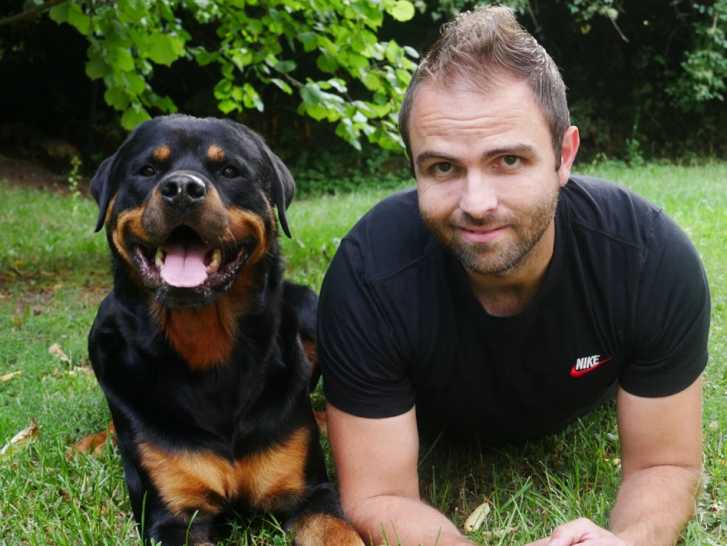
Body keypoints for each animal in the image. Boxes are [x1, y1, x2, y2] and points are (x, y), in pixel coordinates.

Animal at [88, 115, 363, 546]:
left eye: (230, 171)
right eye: (147, 170)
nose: (182, 189)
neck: (208, 347)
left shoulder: (311, 493)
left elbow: (340, 531)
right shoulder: (173, 516)